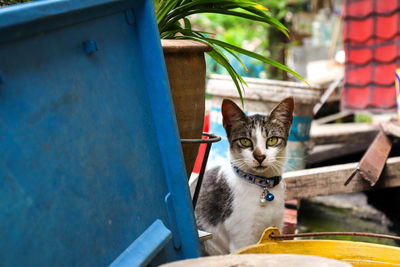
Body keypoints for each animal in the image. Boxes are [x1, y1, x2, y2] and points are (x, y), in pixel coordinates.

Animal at [194, 97, 294, 256]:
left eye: (272, 140)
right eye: (245, 141)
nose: (260, 156)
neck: (261, 184)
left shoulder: (276, 226)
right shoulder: (242, 237)